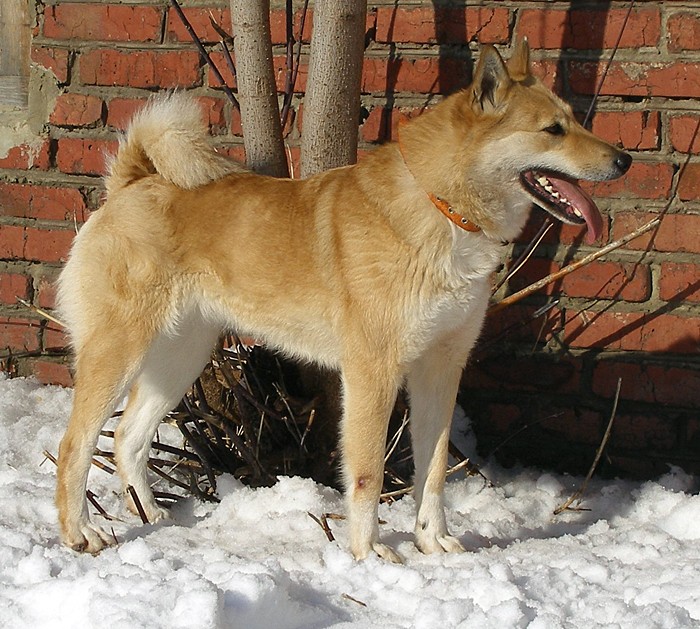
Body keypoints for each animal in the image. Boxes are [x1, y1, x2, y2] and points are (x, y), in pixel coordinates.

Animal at [56, 40, 631, 562]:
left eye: (575, 121)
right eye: (552, 130)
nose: (624, 158)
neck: (443, 209)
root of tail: (132, 182)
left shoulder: (440, 368)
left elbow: (433, 471)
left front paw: (432, 542)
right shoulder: (373, 371)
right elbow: (368, 473)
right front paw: (367, 552)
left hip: (181, 356)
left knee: (127, 437)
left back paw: (153, 517)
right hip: (119, 351)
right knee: (76, 444)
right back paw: (81, 533)